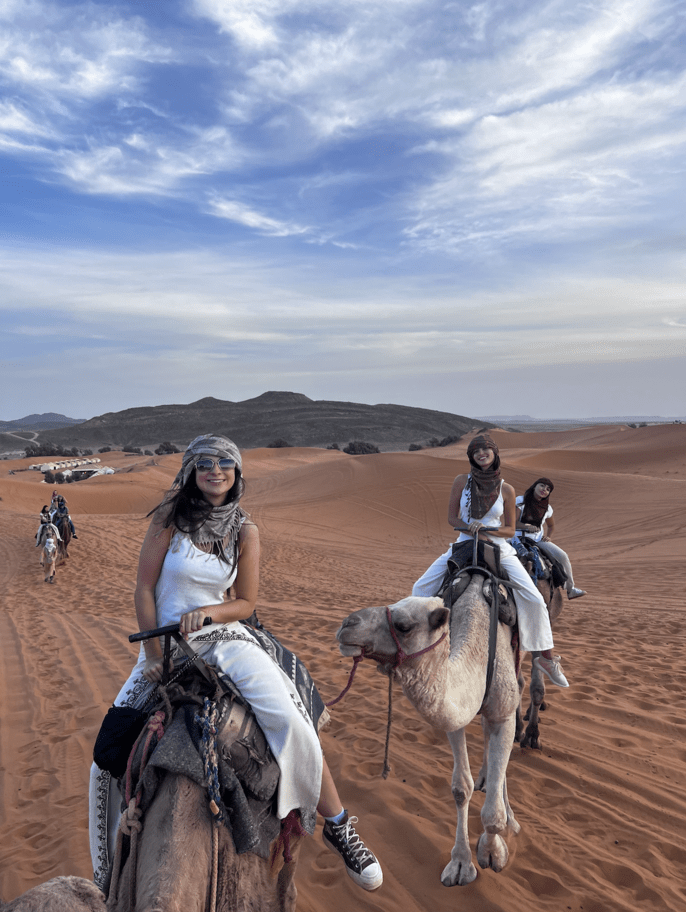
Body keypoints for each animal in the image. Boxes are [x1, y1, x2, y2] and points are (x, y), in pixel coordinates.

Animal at [338, 572, 520, 888]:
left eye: (404, 626)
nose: (346, 624)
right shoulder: (454, 713)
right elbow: (461, 788)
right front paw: (460, 864)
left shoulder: (505, 711)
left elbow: (493, 811)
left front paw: (492, 850)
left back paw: (510, 817)